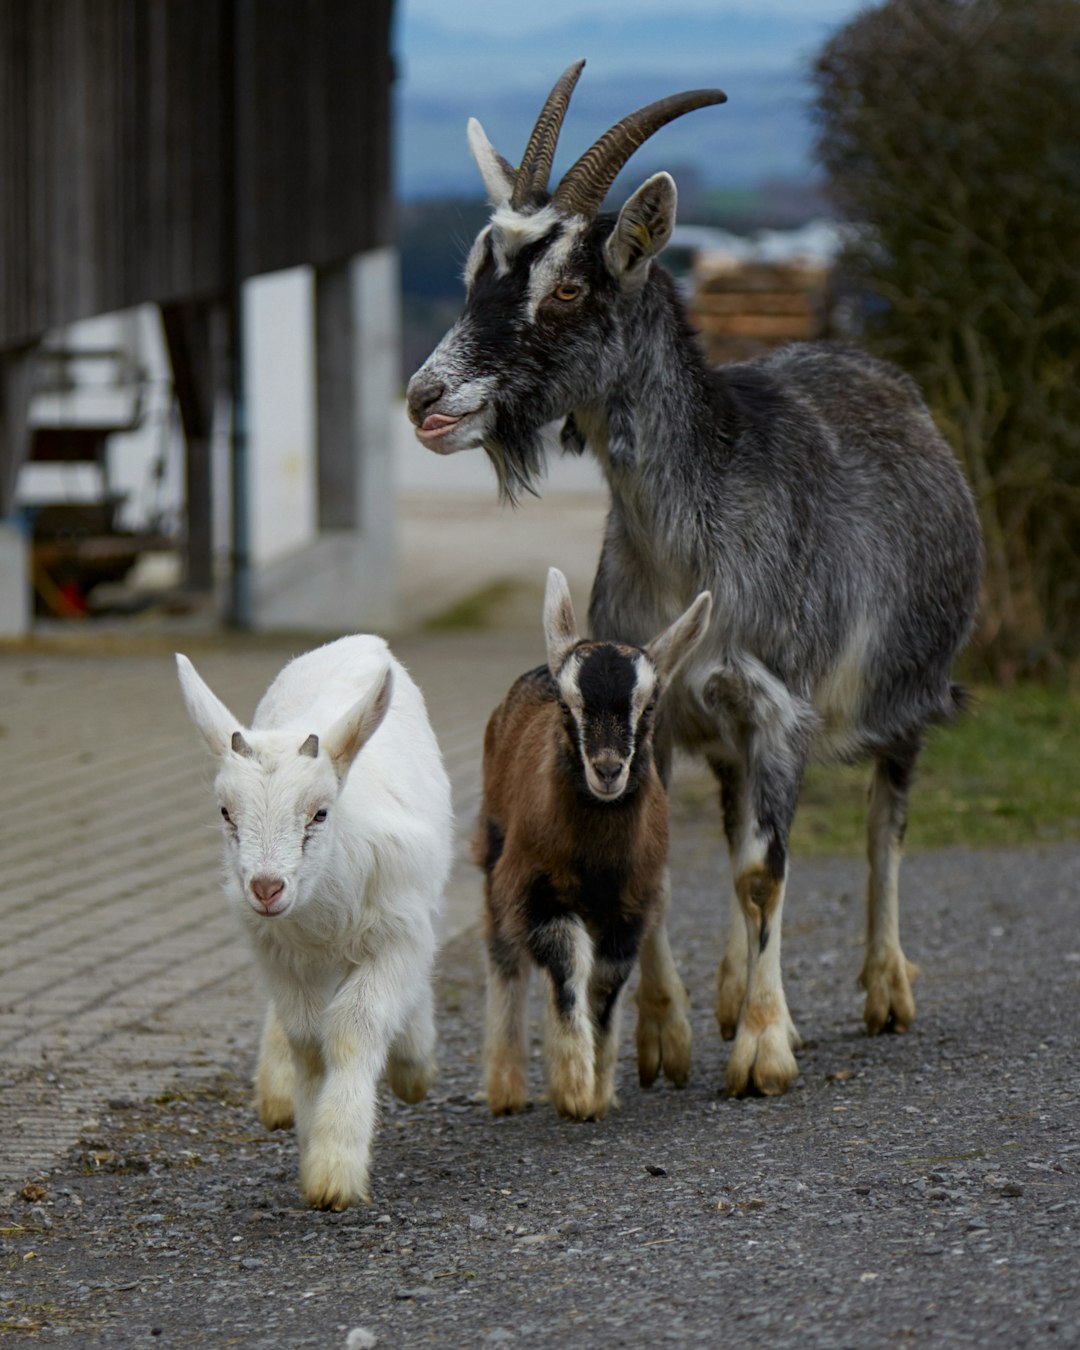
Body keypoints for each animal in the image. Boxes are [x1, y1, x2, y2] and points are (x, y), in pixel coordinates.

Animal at [405, 63, 977, 1096]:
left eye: (570, 285)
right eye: (479, 269)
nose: (427, 401)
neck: (691, 539)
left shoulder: (778, 704)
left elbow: (765, 869)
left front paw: (764, 1049)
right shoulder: (659, 710)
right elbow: (664, 862)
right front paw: (664, 1039)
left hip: (908, 693)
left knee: (885, 821)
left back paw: (884, 988)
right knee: (741, 816)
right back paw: (727, 989)